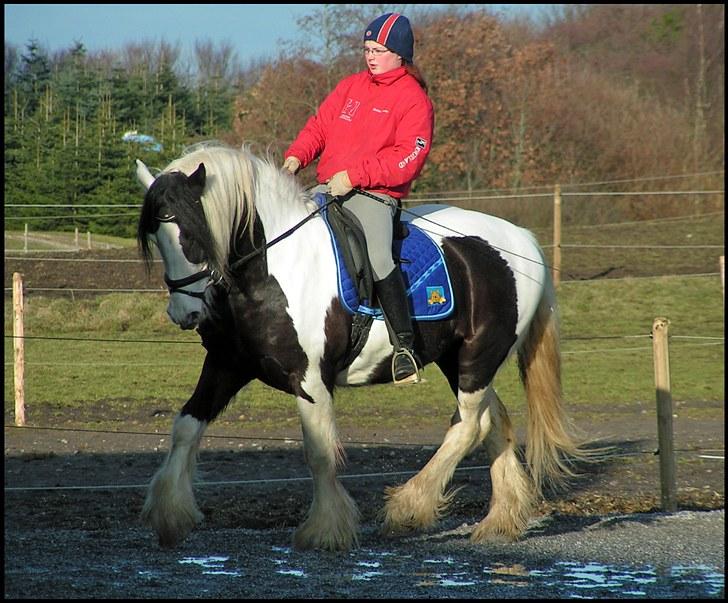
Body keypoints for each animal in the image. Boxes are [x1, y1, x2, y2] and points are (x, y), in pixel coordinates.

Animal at [135, 142, 592, 552]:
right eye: (157, 235)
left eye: (192, 234)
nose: (184, 313)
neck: (270, 270)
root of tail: (521, 238)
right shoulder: (226, 365)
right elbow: (185, 427)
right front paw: (170, 516)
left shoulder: (310, 379)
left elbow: (319, 453)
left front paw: (324, 531)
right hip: (458, 359)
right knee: (492, 422)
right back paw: (501, 520)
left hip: (478, 357)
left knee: (469, 426)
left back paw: (409, 508)